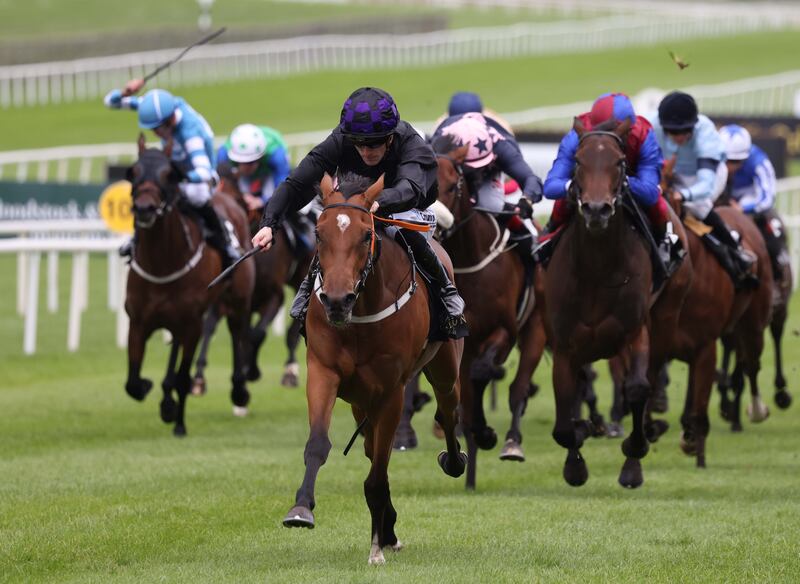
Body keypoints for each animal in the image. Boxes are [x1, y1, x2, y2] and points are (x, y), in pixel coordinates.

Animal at [191, 163, 312, 396]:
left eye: (235, 199)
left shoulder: (274, 296)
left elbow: (256, 334)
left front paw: (251, 371)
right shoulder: (227, 299)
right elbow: (212, 328)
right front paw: (199, 378)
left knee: (293, 330)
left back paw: (290, 371)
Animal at [282, 175, 466, 564]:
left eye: (366, 234)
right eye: (318, 233)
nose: (337, 300)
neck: (360, 315)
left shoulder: (391, 391)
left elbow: (378, 473)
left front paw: (376, 548)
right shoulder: (323, 372)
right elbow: (318, 444)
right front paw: (301, 509)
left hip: (444, 368)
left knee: (448, 410)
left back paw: (455, 461)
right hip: (358, 401)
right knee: (369, 446)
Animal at [432, 136, 536, 488]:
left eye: (454, 185)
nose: (436, 227)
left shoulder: (504, 331)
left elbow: (481, 373)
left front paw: (486, 432)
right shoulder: (460, 340)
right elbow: (466, 390)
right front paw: (476, 431)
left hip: (536, 329)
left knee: (517, 387)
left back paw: (510, 442)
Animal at [544, 120, 692, 488]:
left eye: (620, 162)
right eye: (578, 161)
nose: (597, 210)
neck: (597, 269)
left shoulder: (633, 332)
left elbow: (637, 389)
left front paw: (633, 455)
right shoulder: (565, 345)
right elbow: (565, 420)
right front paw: (576, 458)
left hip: (665, 315)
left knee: (649, 376)